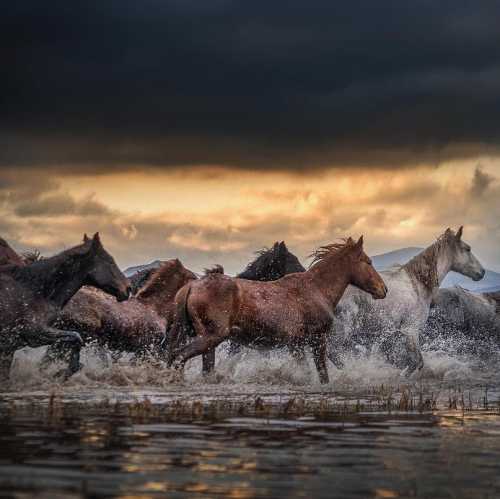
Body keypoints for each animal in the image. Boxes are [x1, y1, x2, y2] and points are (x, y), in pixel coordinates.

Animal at [0, 234, 131, 382]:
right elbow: (76, 338)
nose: (128, 288)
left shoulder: (13, 345)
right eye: (110, 261)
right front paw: (65, 371)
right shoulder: (33, 333)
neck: (36, 290)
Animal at [167, 236, 386, 384]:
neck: (317, 289)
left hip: (208, 342)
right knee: (179, 356)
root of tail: (191, 287)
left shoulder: (296, 344)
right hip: (212, 337)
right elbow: (322, 374)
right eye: (368, 262)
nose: (383, 289)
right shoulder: (318, 339)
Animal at [330, 227, 486, 376]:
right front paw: (402, 375)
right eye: (467, 249)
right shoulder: (411, 329)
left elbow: (415, 361)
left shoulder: (406, 332)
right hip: (342, 328)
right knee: (333, 353)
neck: (418, 283)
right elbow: (416, 361)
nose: (482, 272)